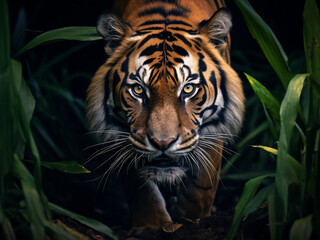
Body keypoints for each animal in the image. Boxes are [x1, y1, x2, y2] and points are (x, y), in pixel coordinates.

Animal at [86, 0, 244, 232]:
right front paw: (151, 225)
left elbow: (201, 188)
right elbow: (141, 189)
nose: (163, 143)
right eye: (138, 90)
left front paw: (192, 220)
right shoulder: (125, 136)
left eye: (188, 89)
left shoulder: (212, 133)